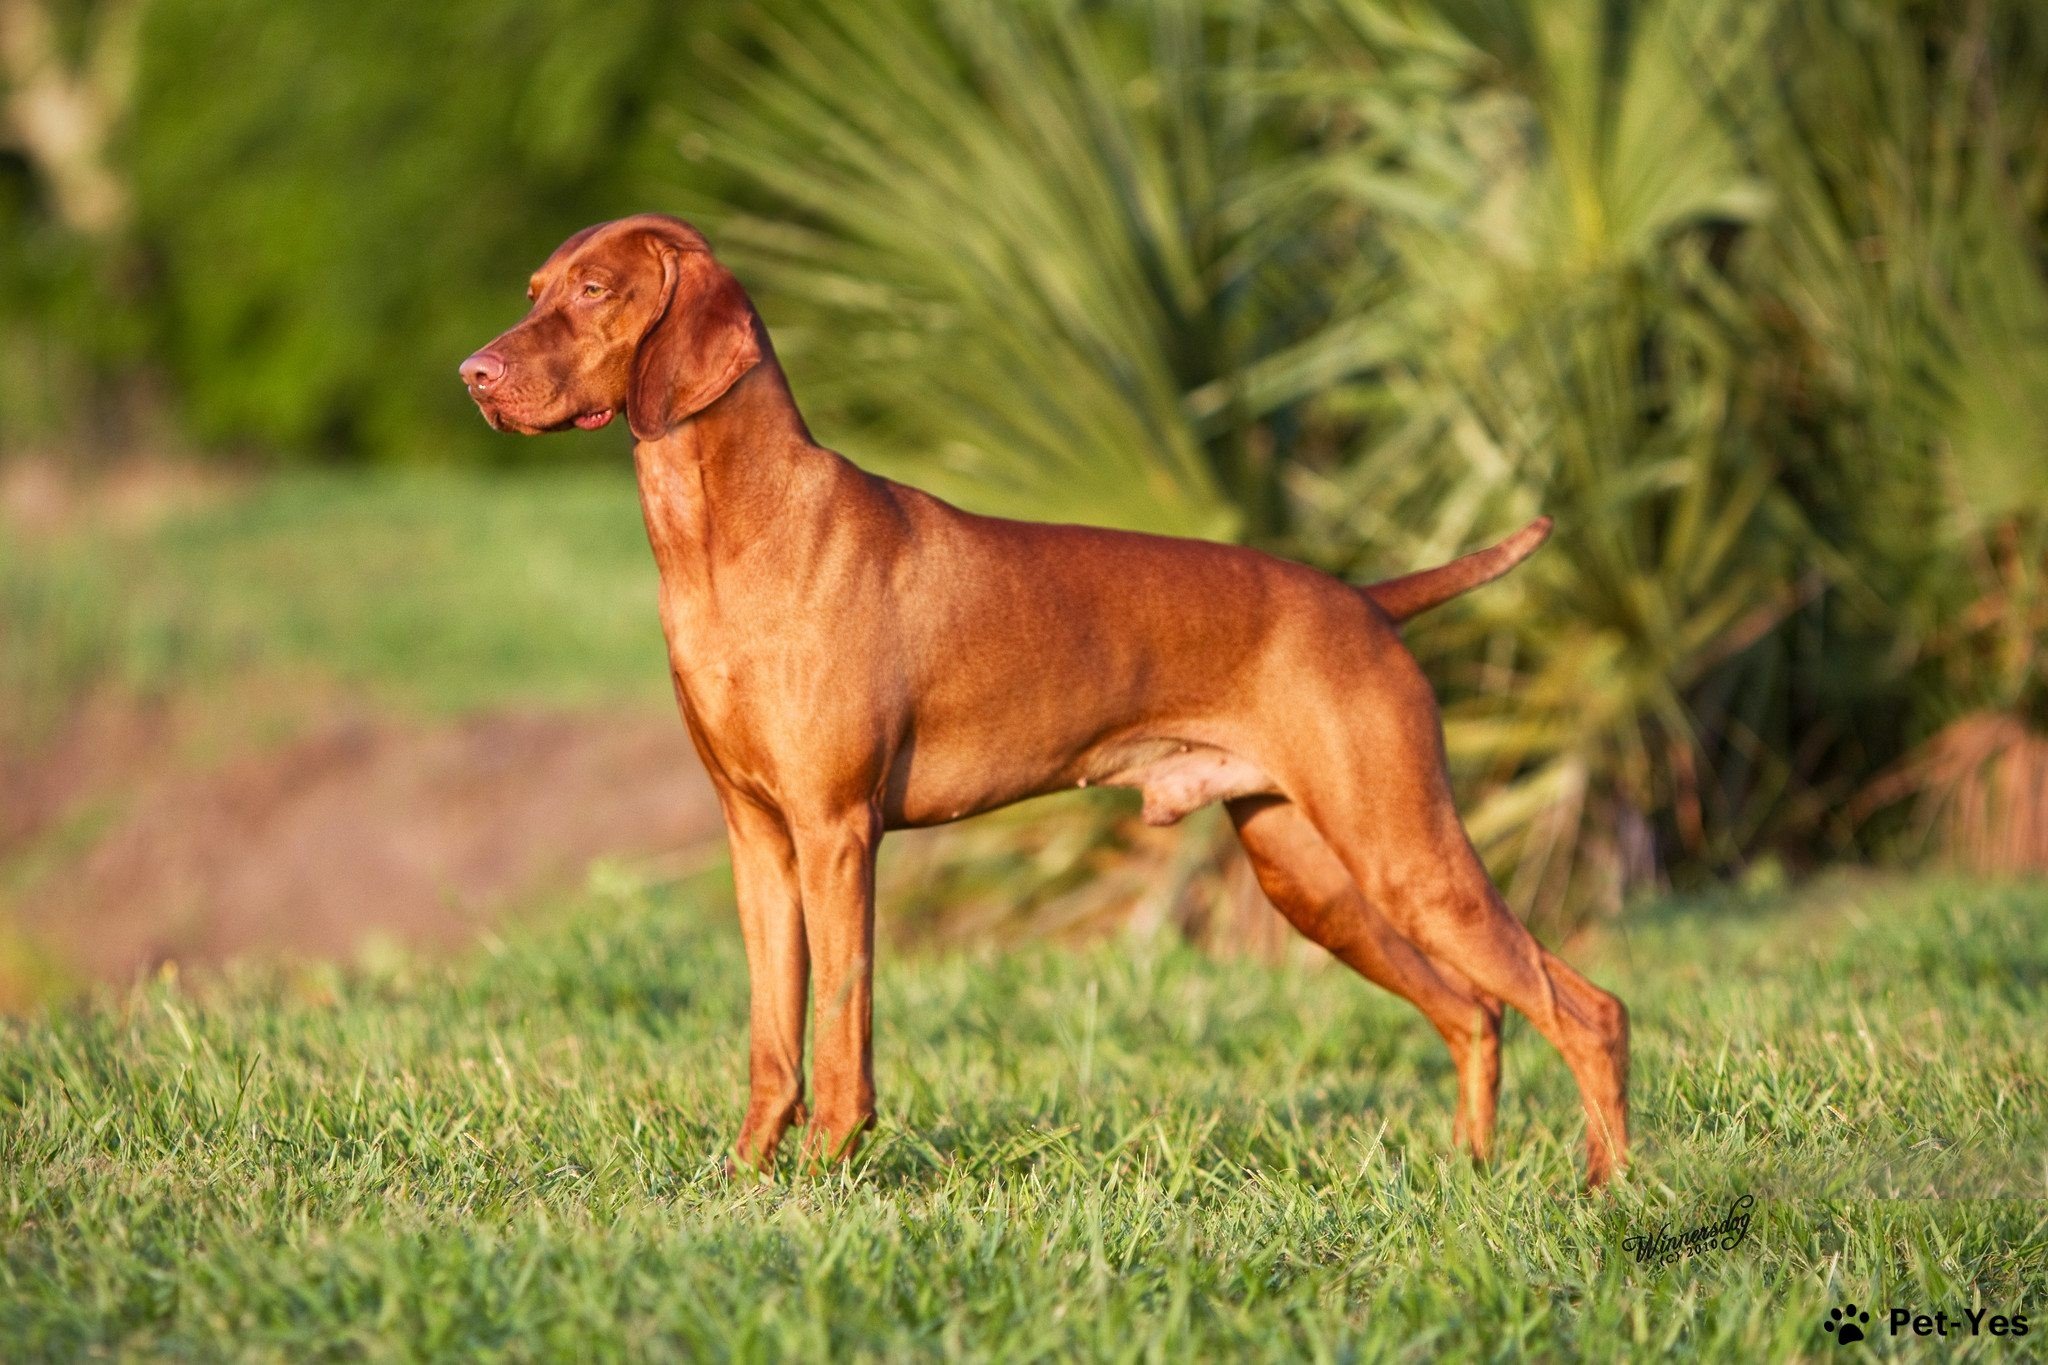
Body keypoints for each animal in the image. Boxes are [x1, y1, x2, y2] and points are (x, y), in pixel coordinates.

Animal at [464, 210, 1630, 1186]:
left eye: (597, 291)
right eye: (533, 290)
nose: (472, 373)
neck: (723, 539)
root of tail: (1364, 600)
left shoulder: (836, 833)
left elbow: (841, 1026)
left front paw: (825, 1177)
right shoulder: (757, 839)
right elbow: (771, 1036)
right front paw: (747, 1177)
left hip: (1406, 853)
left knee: (1589, 1008)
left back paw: (1606, 1193)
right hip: (1315, 878)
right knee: (1475, 1012)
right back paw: (1468, 1173)